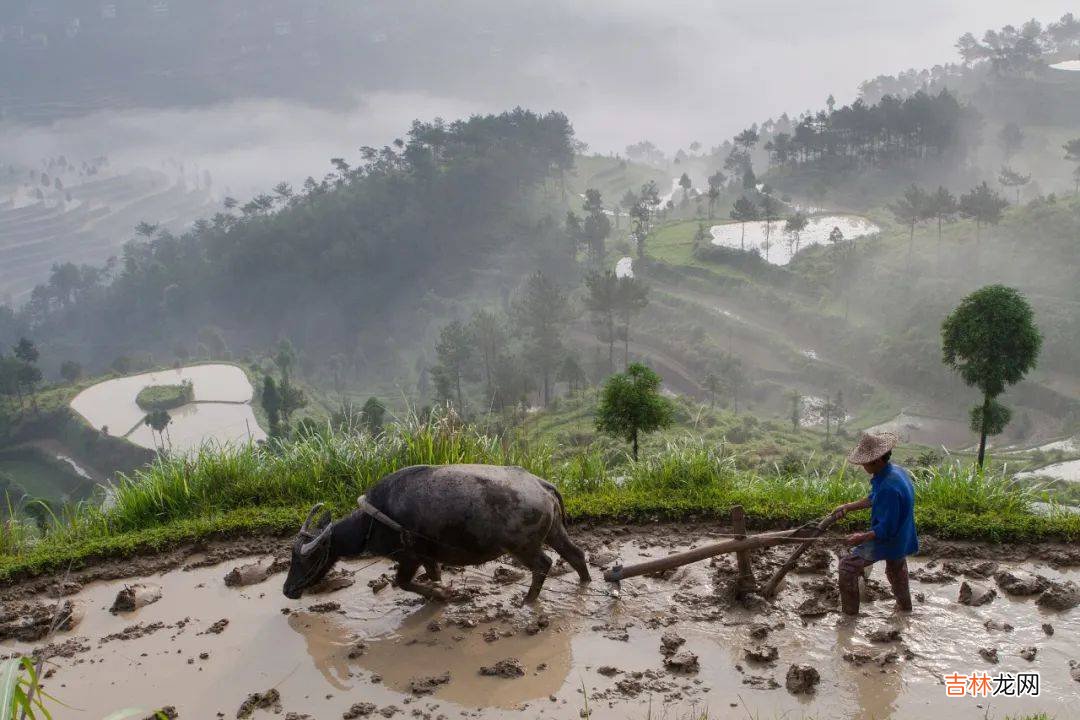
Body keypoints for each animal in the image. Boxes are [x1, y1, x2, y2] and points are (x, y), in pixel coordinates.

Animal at [282, 464, 591, 600]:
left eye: (306, 558)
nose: (286, 590)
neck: (374, 520)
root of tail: (542, 485)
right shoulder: (428, 558)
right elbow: (433, 576)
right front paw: (440, 591)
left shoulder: (410, 557)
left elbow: (403, 583)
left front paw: (442, 595)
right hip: (554, 533)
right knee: (575, 554)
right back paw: (585, 583)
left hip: (523, 547)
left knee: (544, 564)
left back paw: (527, 600)